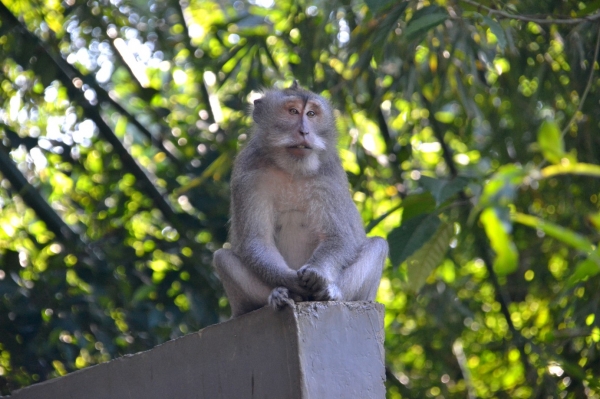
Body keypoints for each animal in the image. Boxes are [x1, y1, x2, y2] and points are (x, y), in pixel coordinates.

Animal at [213, 83, 386, 318]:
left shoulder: (329, 176)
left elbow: (339, 237)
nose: (304, 131)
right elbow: (257, 240)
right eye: (293, 111)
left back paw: (331, 293)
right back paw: (280, 296)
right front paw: (290, 281)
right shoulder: (248, 175)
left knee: (378, 245)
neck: (292, 170)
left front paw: (316, 274)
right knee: (222, 258)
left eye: (311, 114)